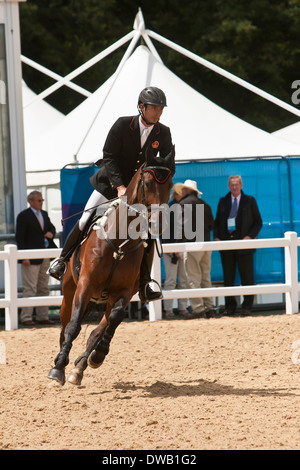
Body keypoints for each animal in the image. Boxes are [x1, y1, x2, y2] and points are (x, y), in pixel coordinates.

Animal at [47, 147, 175, 386]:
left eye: (170, 184)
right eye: (147, 183)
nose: (158, 222)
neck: (119, 241)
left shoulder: (123, 292)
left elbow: (112, 322)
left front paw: (98, 356)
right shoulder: (85, 285)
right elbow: (73, 326)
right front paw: (58, 369)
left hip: (107, 298)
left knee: (97, 330)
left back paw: (79, 368)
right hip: (69, 292)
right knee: (65, 325)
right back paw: (61, 363)